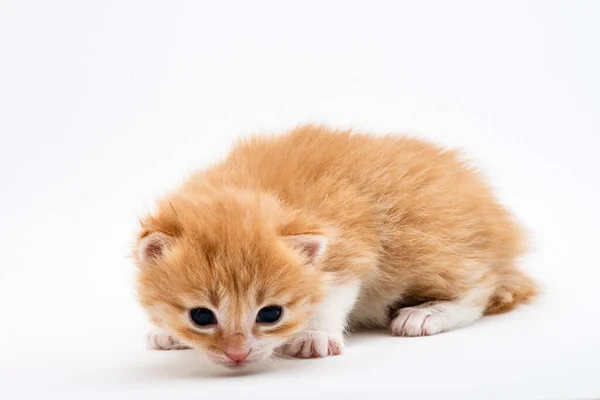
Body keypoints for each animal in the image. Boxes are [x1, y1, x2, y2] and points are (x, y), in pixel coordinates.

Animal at [135, 125, 540, 368]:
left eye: (270, 314)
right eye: (201, 317)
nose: (238, 354)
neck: (252, 189)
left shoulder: (352, 245)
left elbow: (333, 294)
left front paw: (314, 335)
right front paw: (169, 333)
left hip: (430, 243)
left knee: (480, 287)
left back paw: (426, 314)